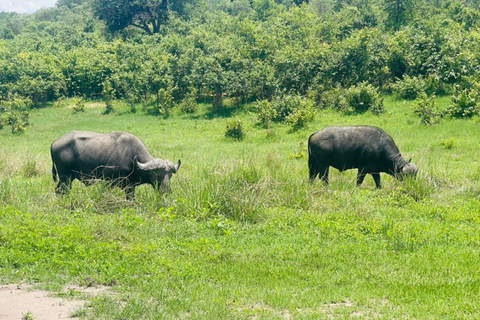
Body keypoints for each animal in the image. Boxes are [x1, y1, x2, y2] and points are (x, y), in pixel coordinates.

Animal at [50, 131, 181, 199]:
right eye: (158, 175)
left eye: (170, 176)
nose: (166, 192)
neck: (132, 158)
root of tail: (55, 142)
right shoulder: (107, 181)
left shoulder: (130, 187)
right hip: (65, 177)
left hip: (68, 178)